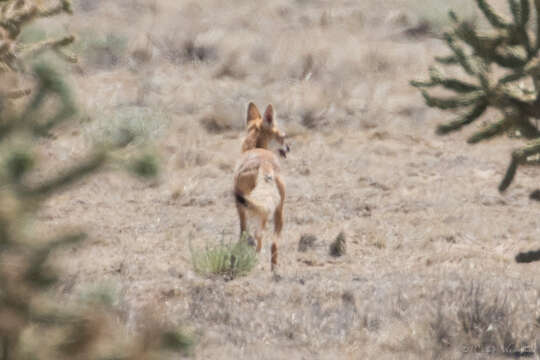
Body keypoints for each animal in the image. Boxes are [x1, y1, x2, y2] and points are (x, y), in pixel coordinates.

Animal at [234, 101, 288, 270]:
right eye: (283, 137)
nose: (289, 148)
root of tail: (264, 164)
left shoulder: (241, 208)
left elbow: (243, 232)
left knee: (259, 237)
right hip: (279, 212)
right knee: (273, 244)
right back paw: (274, 269)